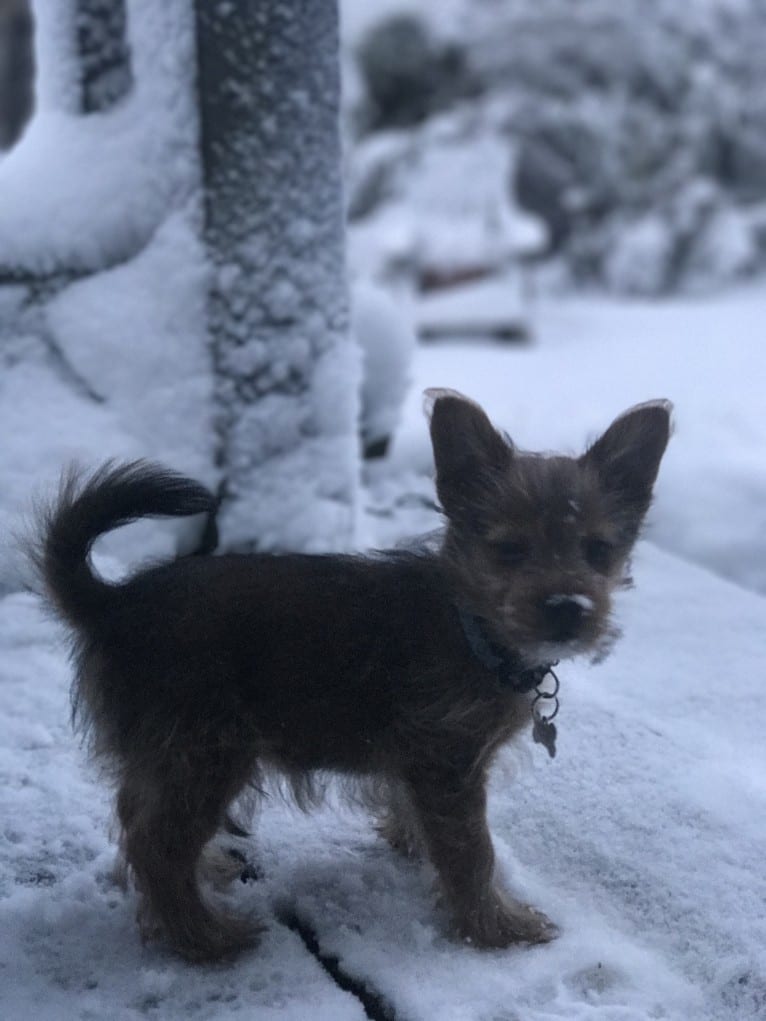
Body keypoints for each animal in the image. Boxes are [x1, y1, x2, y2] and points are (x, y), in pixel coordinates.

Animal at [34, 387, 669, 955]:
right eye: (510, 550)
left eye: (598, 550)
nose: (568, 608)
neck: (471, 626)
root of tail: (114, 602)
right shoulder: (449, 765)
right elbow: (472, 853)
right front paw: (497, 927)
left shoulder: (425, 767)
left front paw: (416, 851)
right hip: (205, 753)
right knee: (157, 846)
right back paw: (205, 938)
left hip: (168, 757)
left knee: (134, 814)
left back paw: (205, 874)